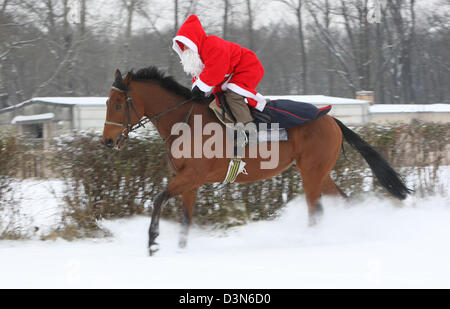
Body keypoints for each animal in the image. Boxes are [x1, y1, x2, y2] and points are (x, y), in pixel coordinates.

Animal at [102, 66, 412, 254]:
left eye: (117, 105)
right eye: (107, 103)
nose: (107, 141)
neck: (184, 121)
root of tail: (329, 117)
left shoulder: (192, 176)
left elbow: (157, 199)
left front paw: (152, 241)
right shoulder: (189, 182)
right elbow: (185, 218)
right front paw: (179, 248)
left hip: (311, 172)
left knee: (315, 210)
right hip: (321, 173)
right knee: (340, 202)